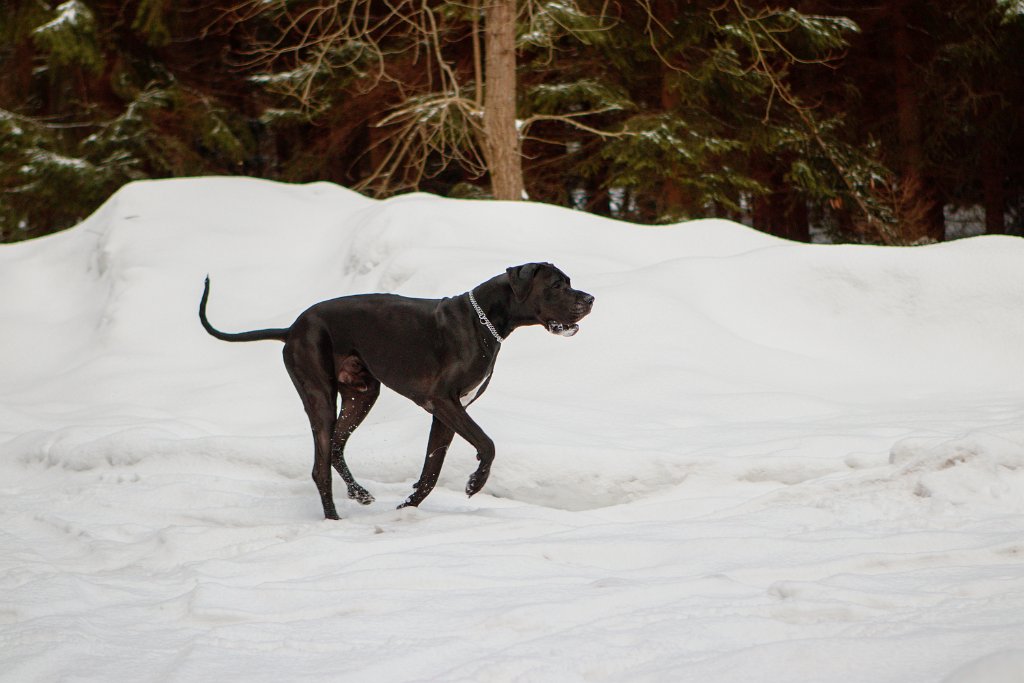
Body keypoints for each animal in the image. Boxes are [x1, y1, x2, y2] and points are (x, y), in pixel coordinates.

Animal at [197, 262, 593, 518]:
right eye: (557, 285)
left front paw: (407, 508)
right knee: (320, 466)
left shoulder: (448, 413)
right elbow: (488, 443)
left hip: (362, 394)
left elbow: (432, 469)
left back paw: (359, 494)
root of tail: (292, 328)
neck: (485, 321)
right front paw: (475, 483)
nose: (589, 299)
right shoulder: (442, 401)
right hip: (320, 397)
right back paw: (333, 520)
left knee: (336, 448)